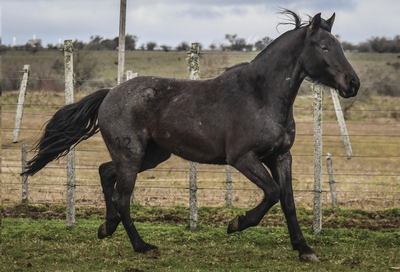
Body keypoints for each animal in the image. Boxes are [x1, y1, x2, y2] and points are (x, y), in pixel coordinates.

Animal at [24, 10, 360, 262]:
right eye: (324, 47)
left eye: (339, 46)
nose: (353, 84)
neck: (262, 95)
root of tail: (110, 93)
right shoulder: (243, 159)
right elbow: (273, 193)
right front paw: (236, 224)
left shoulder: (281, 157)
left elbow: (288, 201)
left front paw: (304, 250)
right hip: (132, 156)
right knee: (122, 197)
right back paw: (142, 246)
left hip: (151, 155)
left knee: (106, 173)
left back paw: (107, 228)